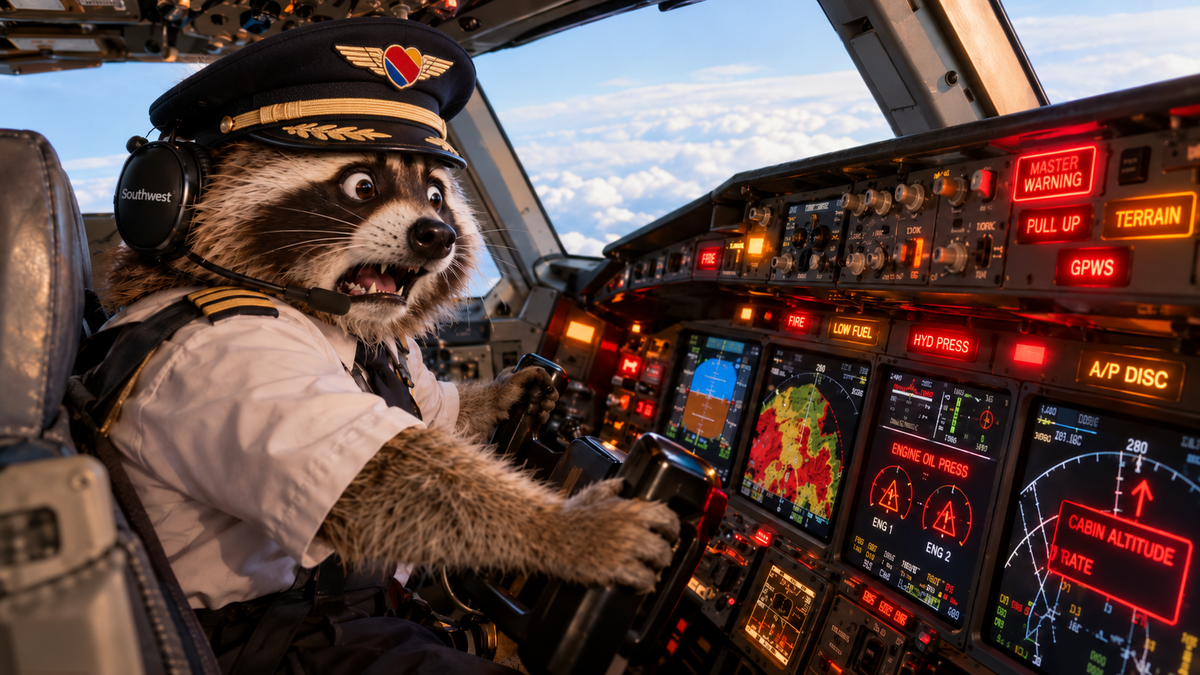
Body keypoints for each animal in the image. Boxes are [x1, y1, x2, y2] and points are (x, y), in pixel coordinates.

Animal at [103, 140, 679, 593]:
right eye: (361, 185)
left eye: (436, 195)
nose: (438, 234)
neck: (333, 321)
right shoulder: (241, 348)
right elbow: (381, 481)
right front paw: (566, 530)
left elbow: (437, 413)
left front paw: (507, 393)